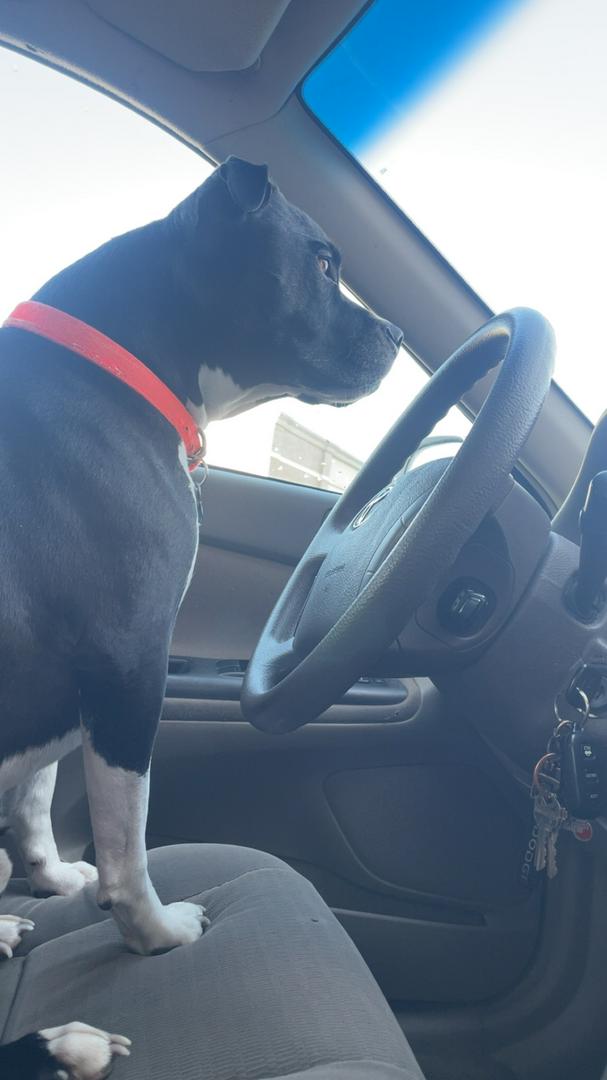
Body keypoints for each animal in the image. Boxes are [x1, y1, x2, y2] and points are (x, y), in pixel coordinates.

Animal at [0, 156, 402, 1078]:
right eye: (322, 262)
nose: (399, 334)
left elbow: (35, 797)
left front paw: (49, 882)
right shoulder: (128, 662)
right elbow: (126, 840)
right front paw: (155, 933)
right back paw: (57, 1042)